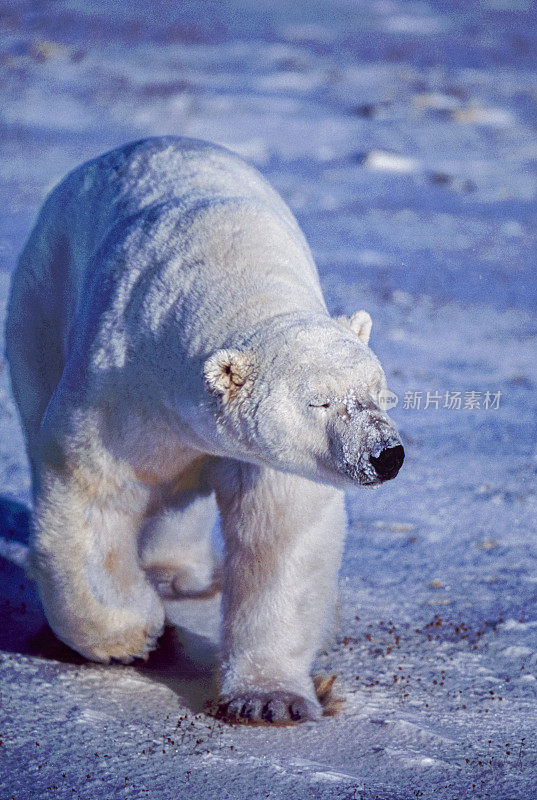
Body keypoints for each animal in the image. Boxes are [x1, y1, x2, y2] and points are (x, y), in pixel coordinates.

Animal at [6, 138, 402, 724]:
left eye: (377, 389)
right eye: (321, 401)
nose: (385, 454)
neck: (230, 268)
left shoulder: (267, 457)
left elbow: (280, 535)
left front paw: (271, 700)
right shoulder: (120, 387)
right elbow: (93, 493)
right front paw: (131, 635)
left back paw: (177, 572)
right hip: (40, 306)